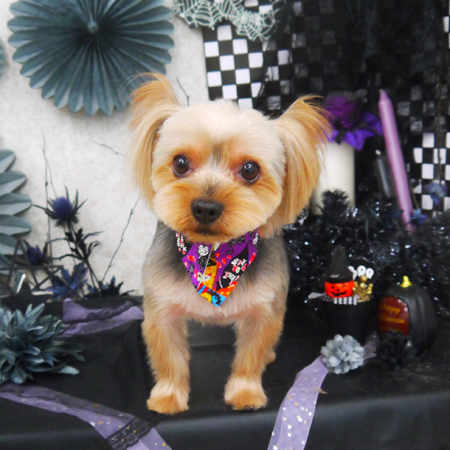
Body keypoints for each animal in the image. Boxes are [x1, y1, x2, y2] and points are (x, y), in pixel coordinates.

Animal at [129, 74, 329, 415]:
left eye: (250, 169)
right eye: (180, 163)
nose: (205, 207)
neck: (215, 256)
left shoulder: (264, 309)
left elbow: (250, 356)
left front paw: (245, 394)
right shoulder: (161, 309)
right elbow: (169, 359)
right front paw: (168, 397)